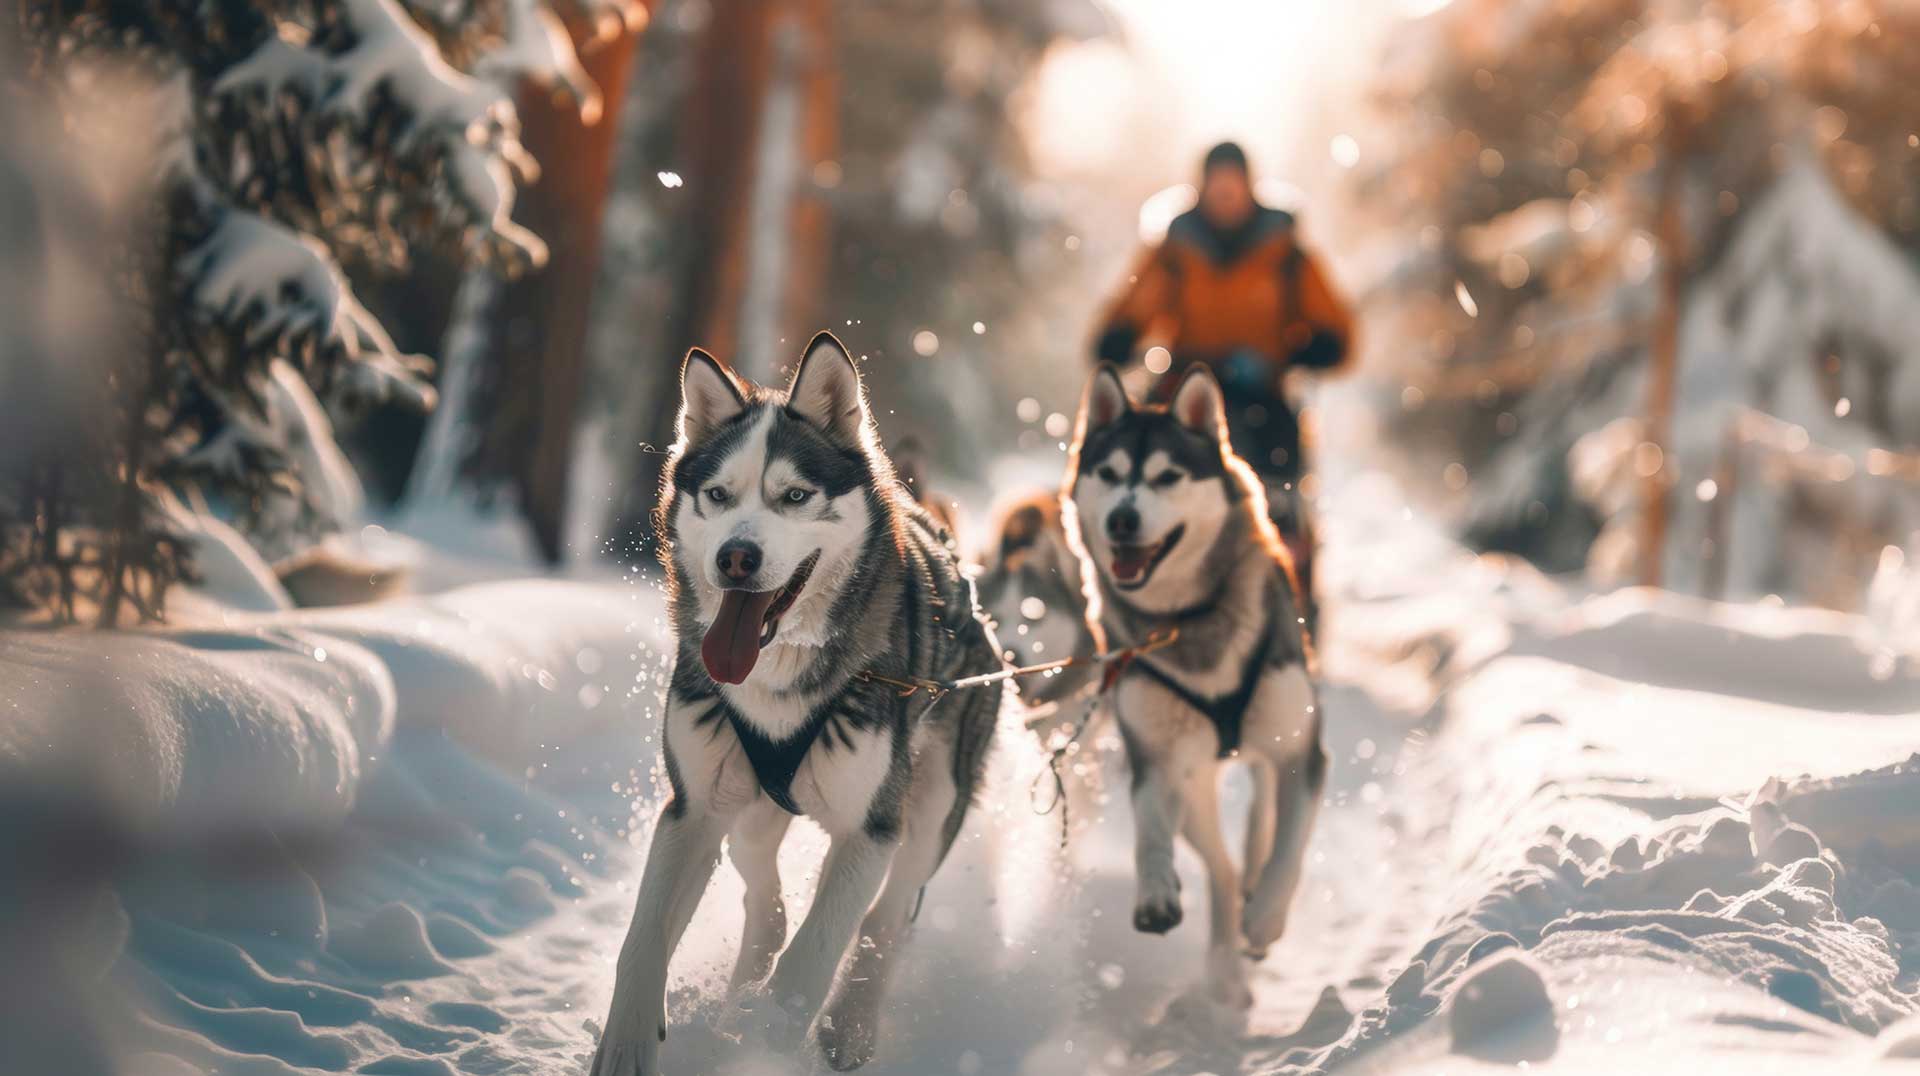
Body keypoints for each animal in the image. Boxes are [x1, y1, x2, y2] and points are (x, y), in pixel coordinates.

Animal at [595, 332, 1006, 1068]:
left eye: (794, 495)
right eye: (718, 495)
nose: (735, 558)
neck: (778, 678)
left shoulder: (870, 830)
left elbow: (814, 959)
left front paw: (764, 1045)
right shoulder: (690, 810)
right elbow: (641, 942)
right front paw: (628, 1042)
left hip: (929, 810)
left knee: (886, 920)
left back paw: (850, 1025)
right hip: (748, 810)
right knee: (766, 893)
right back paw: (742, 989)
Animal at [1067, 363, 1320, 1006]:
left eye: (1167, 476)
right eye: (1109, 474)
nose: (1122, 519)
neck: (1189, 618)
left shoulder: (1301, 751)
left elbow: (1290, 844)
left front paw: (1267, 917)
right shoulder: (1155, 758)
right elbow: (1148, 829)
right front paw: (1156, 891)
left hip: (1265, 751)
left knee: (1260, 823)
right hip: (1195, 784)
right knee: (1222, 869)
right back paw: (1225, 969)